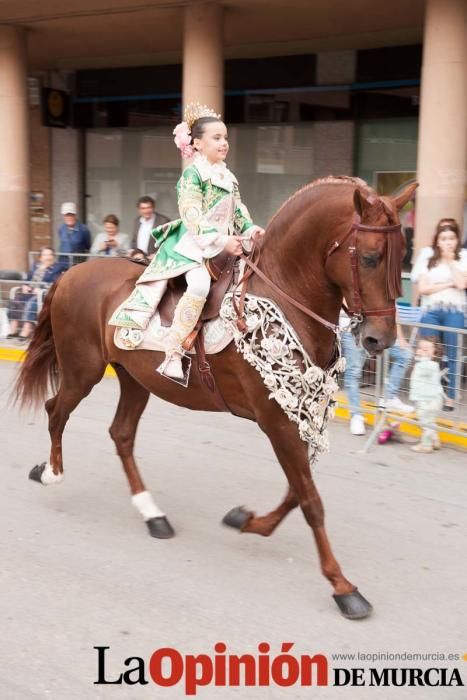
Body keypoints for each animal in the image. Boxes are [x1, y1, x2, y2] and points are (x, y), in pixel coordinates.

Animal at [14, 179, 416, 616]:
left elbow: (297, 492)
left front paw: (247, 520)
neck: (286, 298)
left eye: (403, 256)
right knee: (56, 411)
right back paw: (51, 472)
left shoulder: (300, 415)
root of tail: (69, 273)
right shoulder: (277, 421)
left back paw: (152, 513)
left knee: (121, 434)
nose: (381, 340)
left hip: (135, 379)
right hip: (82, 371)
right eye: (372, 257)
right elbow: (310, 499)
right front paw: (342, 586)